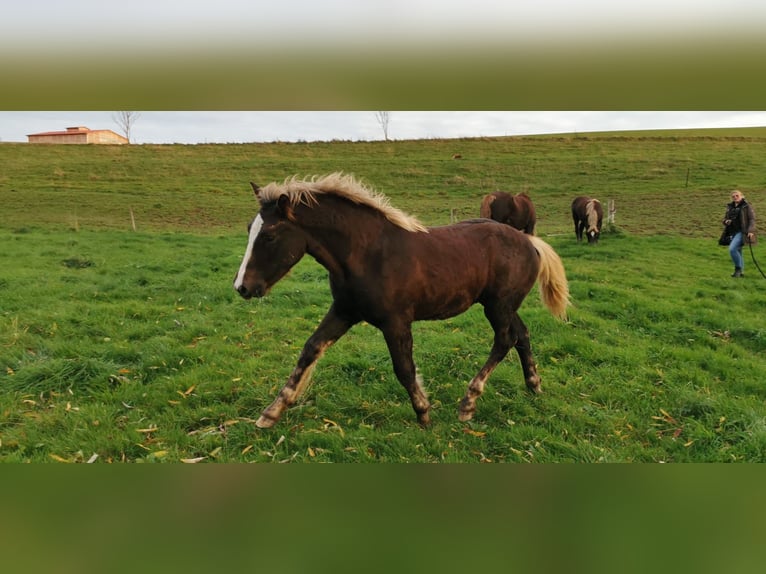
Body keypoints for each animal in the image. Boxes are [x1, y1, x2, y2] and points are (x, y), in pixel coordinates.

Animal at [234, 173, 570, 428]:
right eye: (250, 229)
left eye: (270, 236)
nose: (242, 287)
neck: (368, 254)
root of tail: (529, 241)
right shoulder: (343, 311)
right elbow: (310, 349)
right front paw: (271, 413)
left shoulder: (395, 321)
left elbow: (404, 367)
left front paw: (424, 414)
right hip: (503, 305)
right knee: (521, 334)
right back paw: (533, 385)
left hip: (498, 306)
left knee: (505, 339)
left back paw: (468, 403)